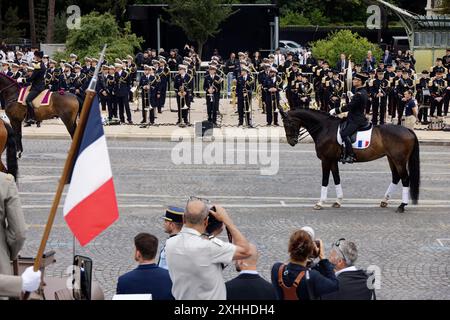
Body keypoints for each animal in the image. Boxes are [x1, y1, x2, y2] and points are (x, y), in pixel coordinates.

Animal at [280, 109, 420, 214]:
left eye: (288, 123)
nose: (291, 142)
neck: (325, 128)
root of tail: (408, 130)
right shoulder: (333, 160)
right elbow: (336, 178)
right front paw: (338, 201)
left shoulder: (326, 160)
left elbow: (325, 180)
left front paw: (320, 203)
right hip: (391, 158)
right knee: (396, 177)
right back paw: (384, 201)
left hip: (399, 160)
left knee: (405, 179)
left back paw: (402, 205)